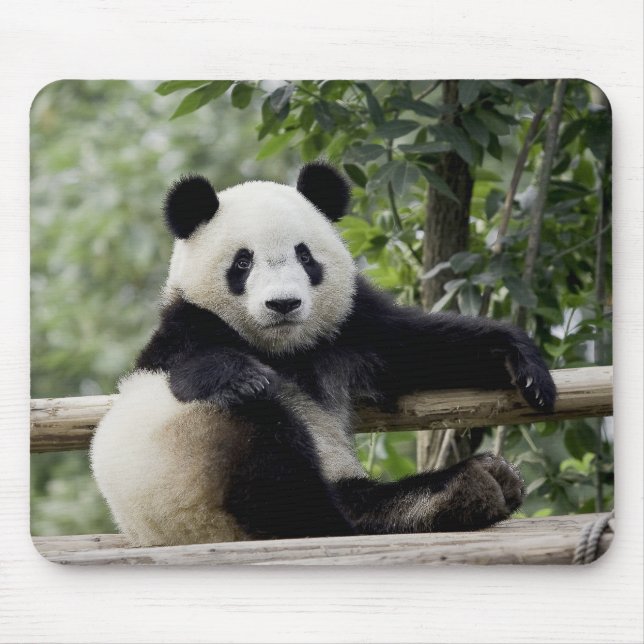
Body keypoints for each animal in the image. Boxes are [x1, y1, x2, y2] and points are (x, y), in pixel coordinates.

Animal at [90, 162, 557, 547]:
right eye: (242, 262)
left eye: (304, 255)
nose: (283, 304)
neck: (282, 349)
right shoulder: (186, 329)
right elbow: (191, 368)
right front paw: (245, 377)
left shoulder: (349, 330)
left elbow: (421, 349)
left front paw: (526, 367)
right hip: (195, 466)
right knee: (279, 475)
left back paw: (471, 486)